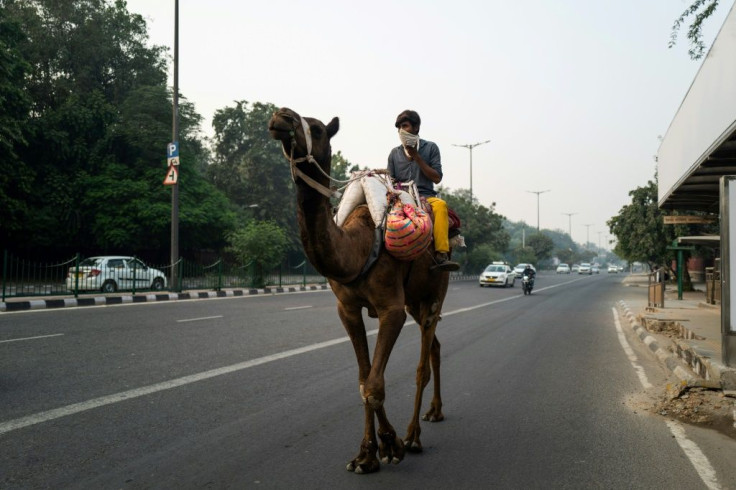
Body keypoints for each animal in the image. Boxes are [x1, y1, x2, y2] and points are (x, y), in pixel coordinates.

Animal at [268, 107, 452, 474]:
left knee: (422, 363)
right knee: (435, 347)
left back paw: (414, 436)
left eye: (318, 129)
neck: (356, 248)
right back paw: (434, 412)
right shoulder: (347, 309)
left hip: (435, 293)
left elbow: (375, 384)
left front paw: (392, 445)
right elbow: (364, 379)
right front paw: (367, 455)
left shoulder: (391, 308)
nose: (281, 116)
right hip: (414, 300)